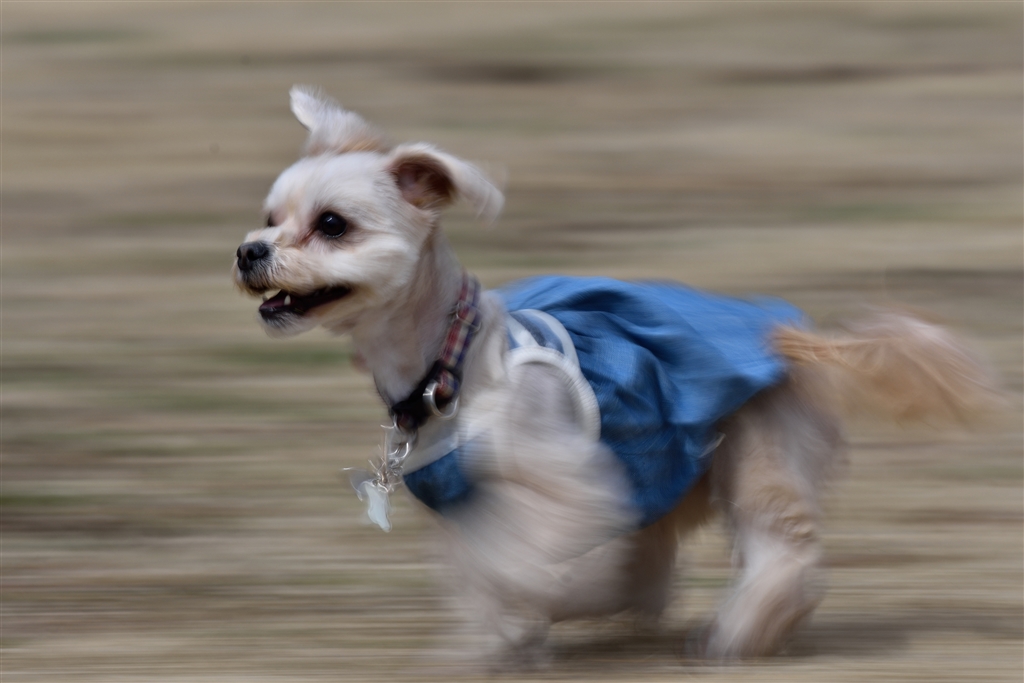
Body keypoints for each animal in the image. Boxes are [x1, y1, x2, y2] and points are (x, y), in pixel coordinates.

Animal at [233, 86, 998, 665]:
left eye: (333, 224)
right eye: (269, 218)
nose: (248, 250)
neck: (449, 361)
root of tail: (787, 330)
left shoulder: (580, 485)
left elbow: (523, 560)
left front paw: (547, 608)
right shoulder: (462, 507)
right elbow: (479, 575)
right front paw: (491, 646)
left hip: (758, 448)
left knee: (782, 550)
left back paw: (733, 633)